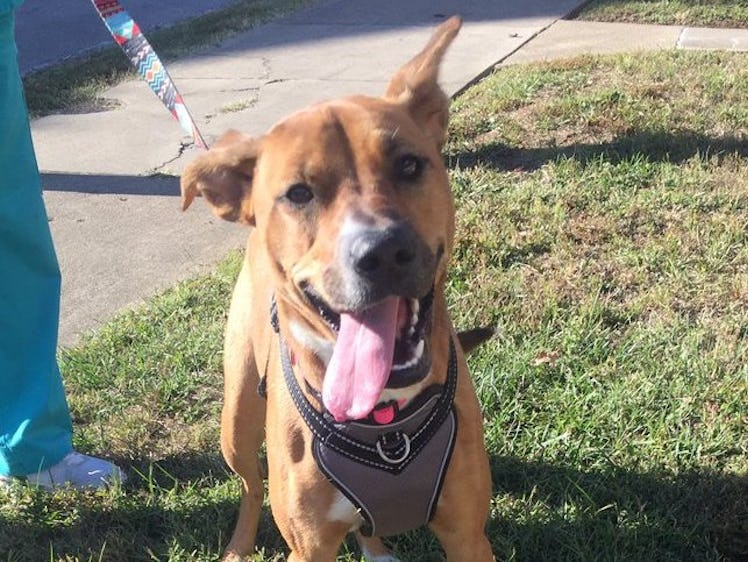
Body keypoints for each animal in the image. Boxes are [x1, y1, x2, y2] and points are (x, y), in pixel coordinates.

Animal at [183, 15, 490, 556]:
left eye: (409, 164)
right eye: (298, 193)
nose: (382, 252)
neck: (385, 425)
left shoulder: (468, 535)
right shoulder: (309, 548)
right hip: (236, 417)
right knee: (249, 484)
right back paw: (239, 545)